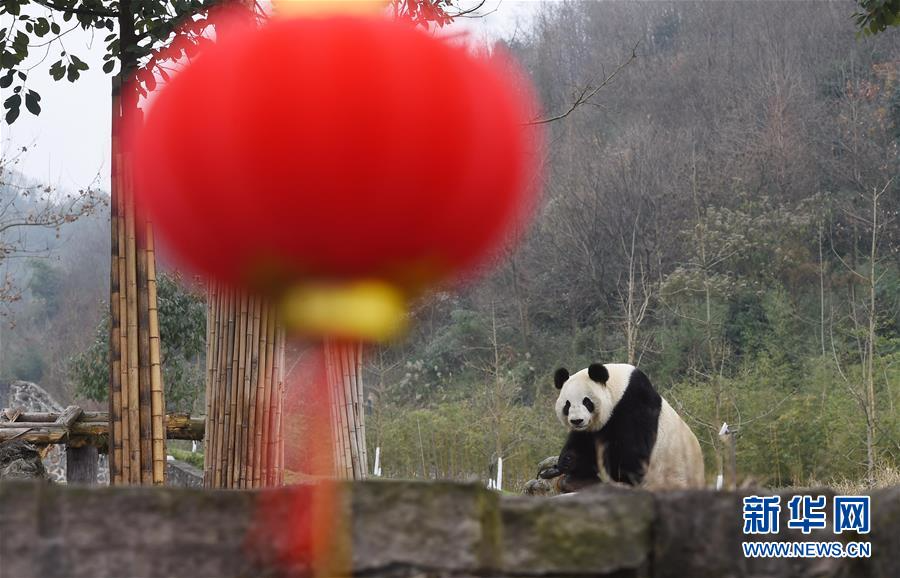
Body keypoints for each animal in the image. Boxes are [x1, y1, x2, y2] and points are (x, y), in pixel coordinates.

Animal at [536, 362, 708, 488]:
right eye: (567, 404)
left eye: (587, 402)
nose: (577, 421)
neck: (618, 389)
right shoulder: (593, 429)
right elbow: (581, 443)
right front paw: (558, 466)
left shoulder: (634, 406)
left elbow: (632, 458)